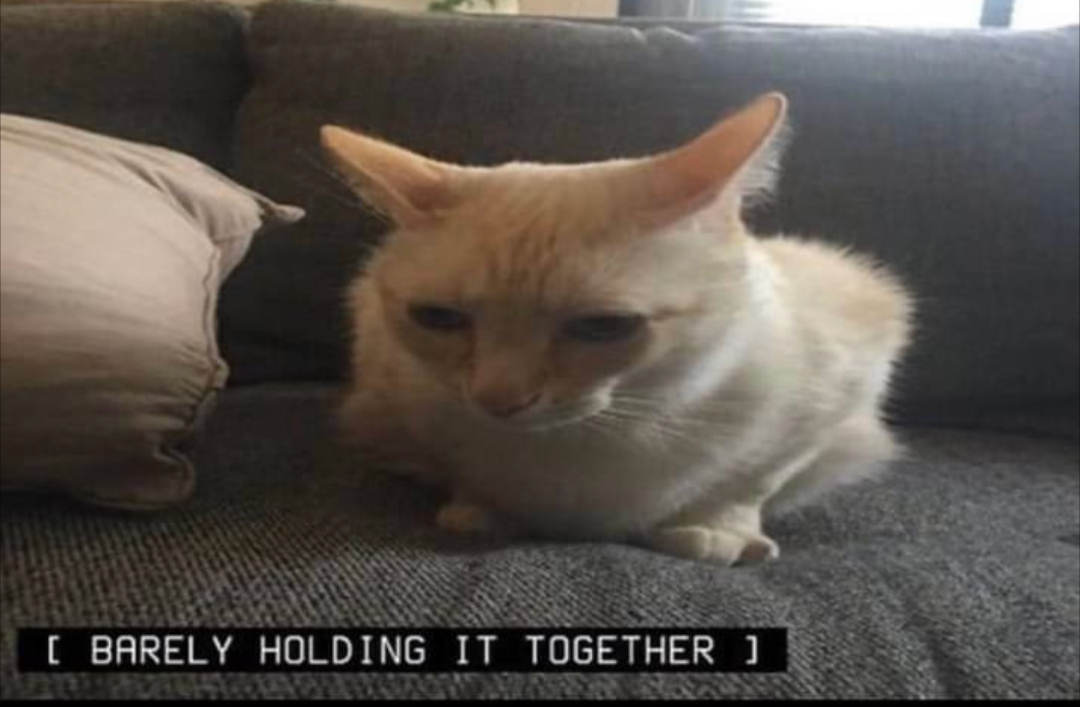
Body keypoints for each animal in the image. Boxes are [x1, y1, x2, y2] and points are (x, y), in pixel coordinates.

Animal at [321, 92, 914, 566]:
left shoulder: (835, 386)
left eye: (604, 326)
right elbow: (459, 471)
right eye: (439, 318)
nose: (498, 401)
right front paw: (480, 511)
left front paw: (714, 532)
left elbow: (748, 483)